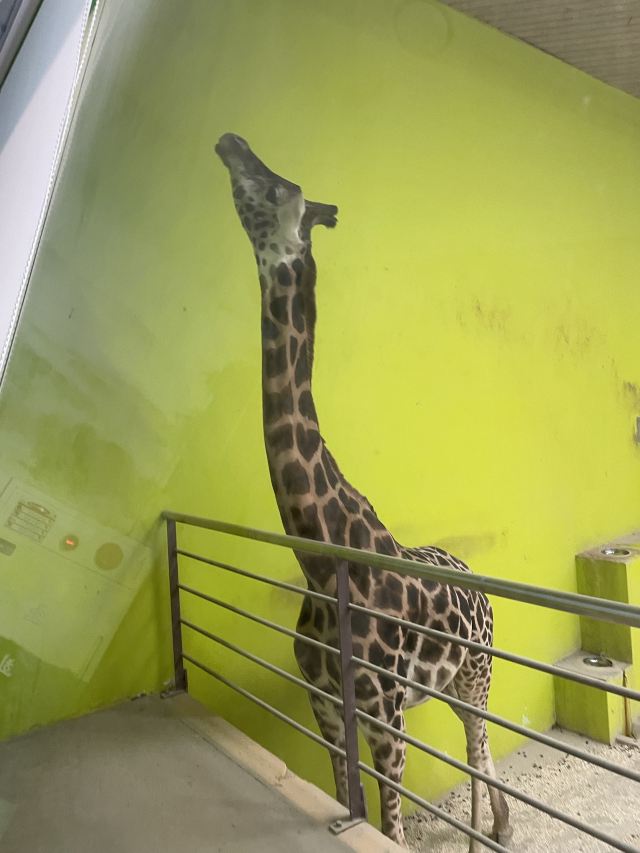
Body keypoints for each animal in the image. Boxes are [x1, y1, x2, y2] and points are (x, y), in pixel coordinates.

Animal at [215, 133, 512, 850]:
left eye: (279, 185)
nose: (231, 142)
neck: (322, 560)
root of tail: (480, 582)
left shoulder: (387, 717)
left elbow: (393, 827)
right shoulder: (326, 705)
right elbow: (347, 799)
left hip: (475, 674)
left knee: (478, 749)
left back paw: (486, 833)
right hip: (456, 683)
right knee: (482, 751)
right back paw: (499, 826)